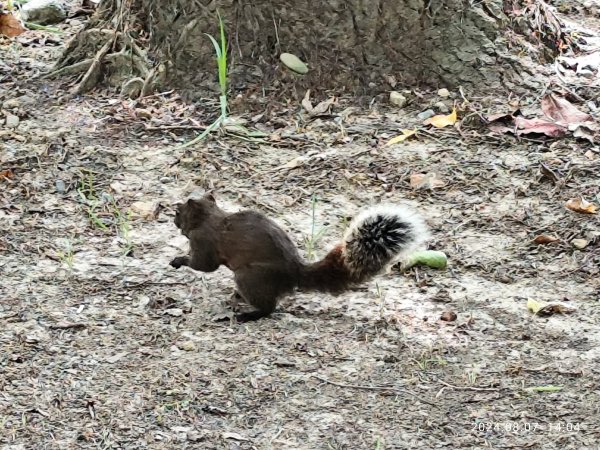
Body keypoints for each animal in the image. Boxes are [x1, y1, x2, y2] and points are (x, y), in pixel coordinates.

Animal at [171, 192, 428, 320]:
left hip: (250, 277)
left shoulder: (203, 241)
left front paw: (178, 260)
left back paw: (247, 314)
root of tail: (295, 273)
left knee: (268, 308)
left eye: (178, 212)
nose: (172, 219)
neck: (209, 218)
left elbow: (203, 265)